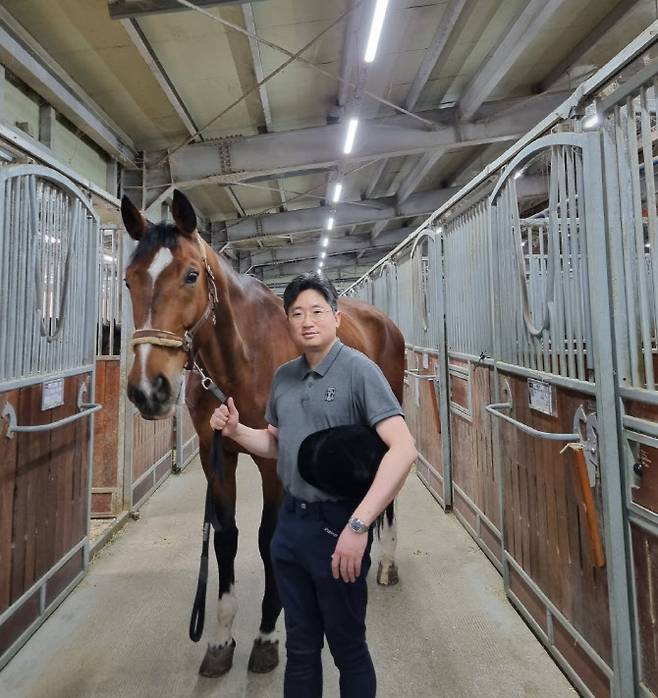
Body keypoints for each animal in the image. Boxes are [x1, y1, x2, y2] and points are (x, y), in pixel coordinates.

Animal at [120, 189, 402, 676]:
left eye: (191, 274)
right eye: (128, 281)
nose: (147, 390)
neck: (242, 358)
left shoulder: (274, 462)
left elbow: (267, 539)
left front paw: (268, 633)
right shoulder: (217, 455)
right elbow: (226, 539)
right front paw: (220, 639)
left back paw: (384, 564)